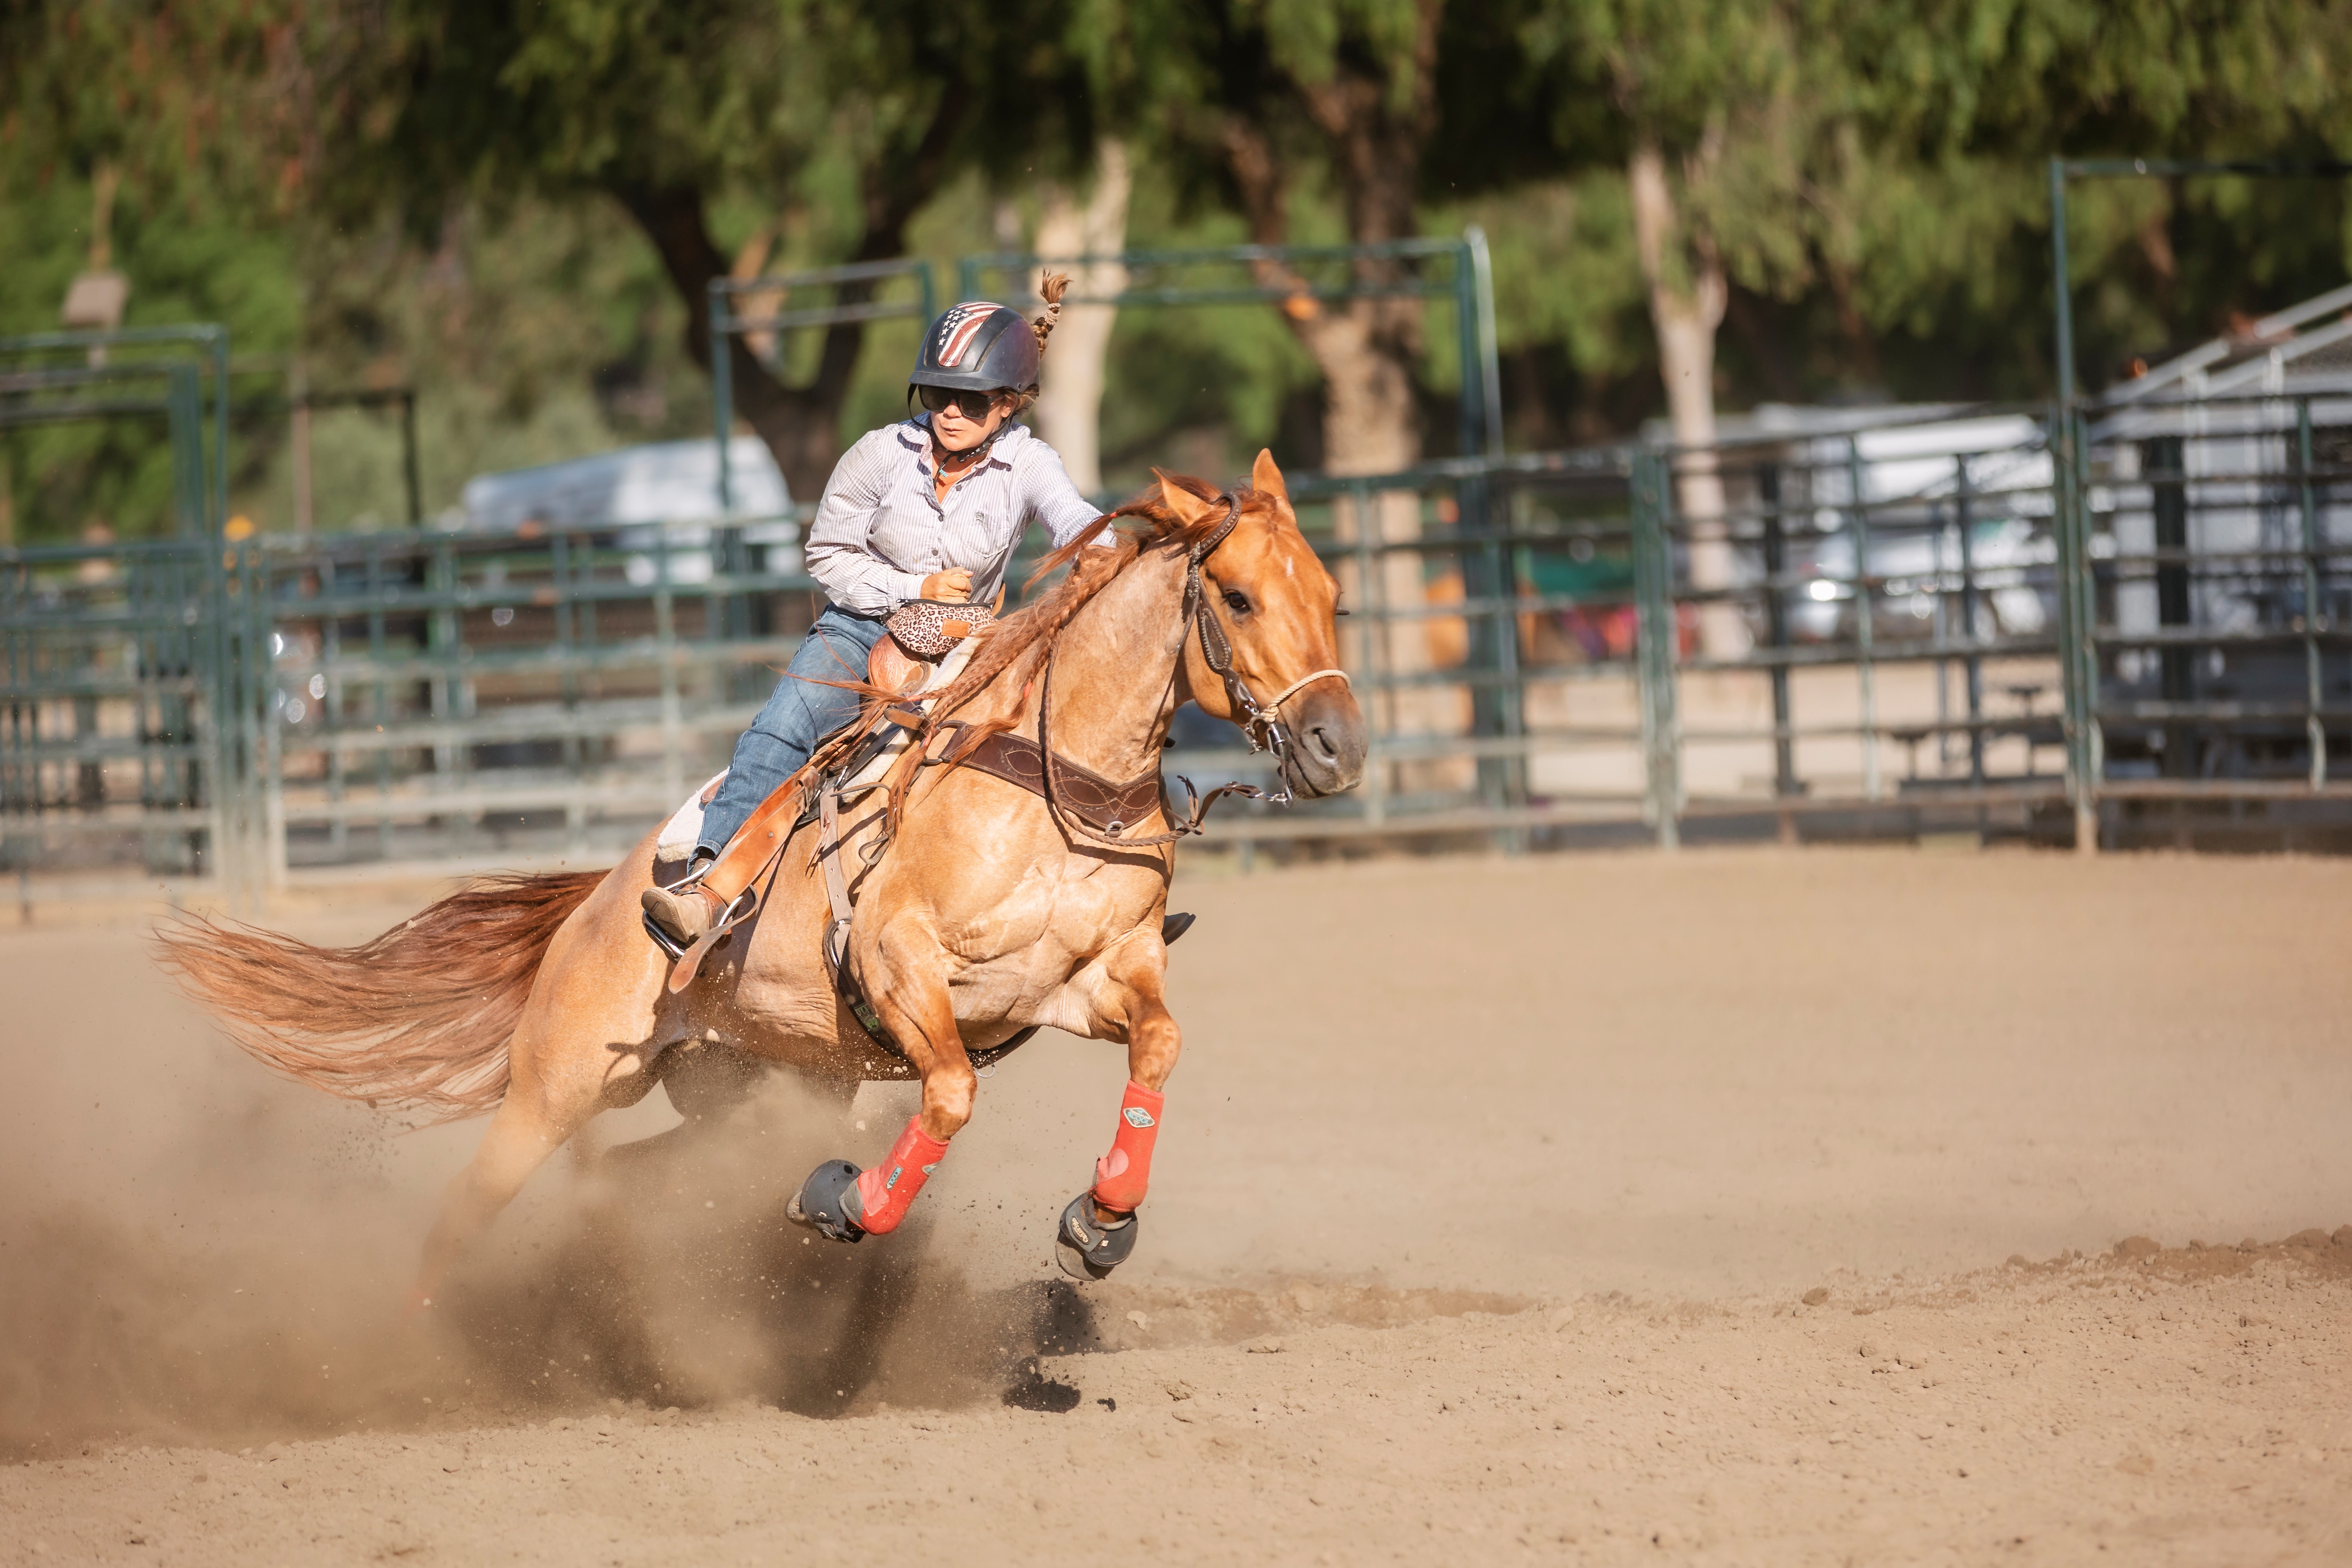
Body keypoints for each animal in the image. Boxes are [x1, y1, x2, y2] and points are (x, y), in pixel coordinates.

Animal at [160, 452, 1366, 1305]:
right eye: (1240, 599)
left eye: (1335, 596)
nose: (1337, 747)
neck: (1050, 784)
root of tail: (592, 907)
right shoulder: (898, 961)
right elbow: (950, 1092)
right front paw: (842, 1199)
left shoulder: (1097, 975)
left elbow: (1159, 1045)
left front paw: (1102, 1220)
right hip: (556, 1087)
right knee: (466, 1209)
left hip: (746, 1087)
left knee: (638, 1177)